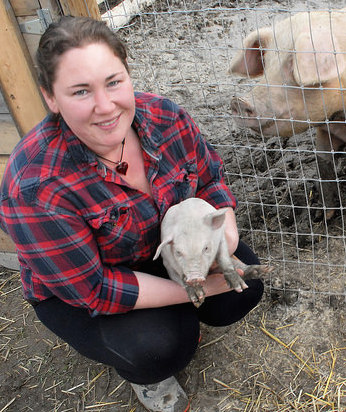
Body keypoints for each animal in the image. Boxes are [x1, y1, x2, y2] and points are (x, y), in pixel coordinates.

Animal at [230, 8, 346, 219]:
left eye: (293, 64)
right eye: (266, 62)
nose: (238, 102)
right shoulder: (326, 131)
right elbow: (323, 164)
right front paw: (324, 216)